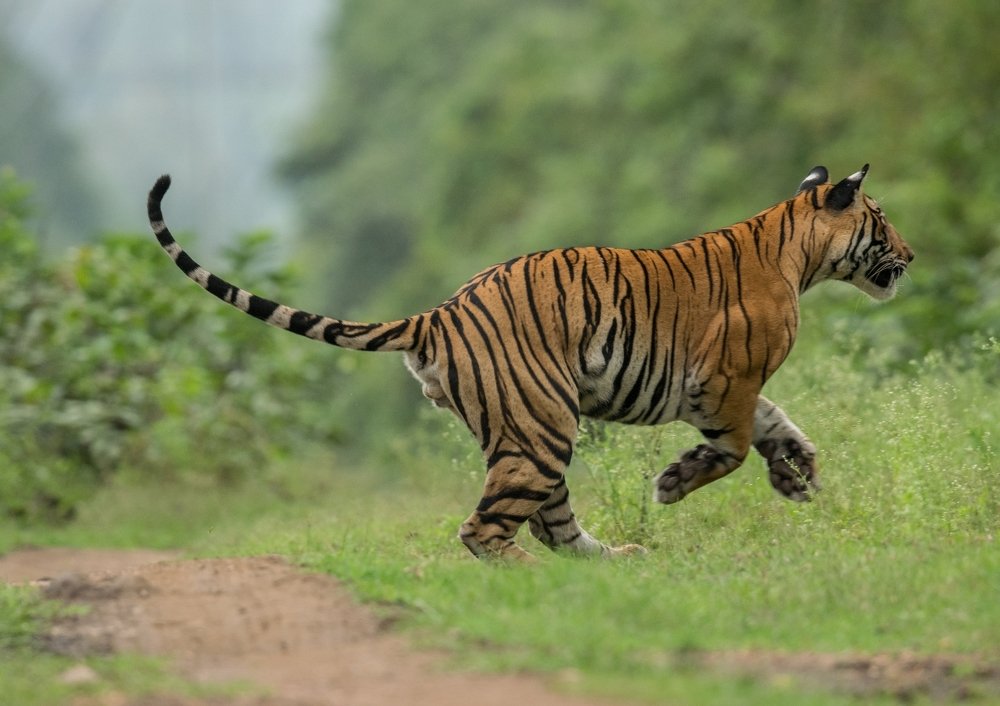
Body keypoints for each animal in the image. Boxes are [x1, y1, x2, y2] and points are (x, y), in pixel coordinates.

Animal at [147, 164, 913, 561]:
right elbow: (731, 446)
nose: (912, 253)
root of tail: (439, 311)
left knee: (552, 523)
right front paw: (674, 483)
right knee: (489, 529)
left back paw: (610, 564)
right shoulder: (724, 381)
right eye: (881, 220)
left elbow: (779, 425)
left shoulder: (733, 387)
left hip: (527, 429)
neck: (798, 253)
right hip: (541, 425)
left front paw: (798, 477)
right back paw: (527, 573)